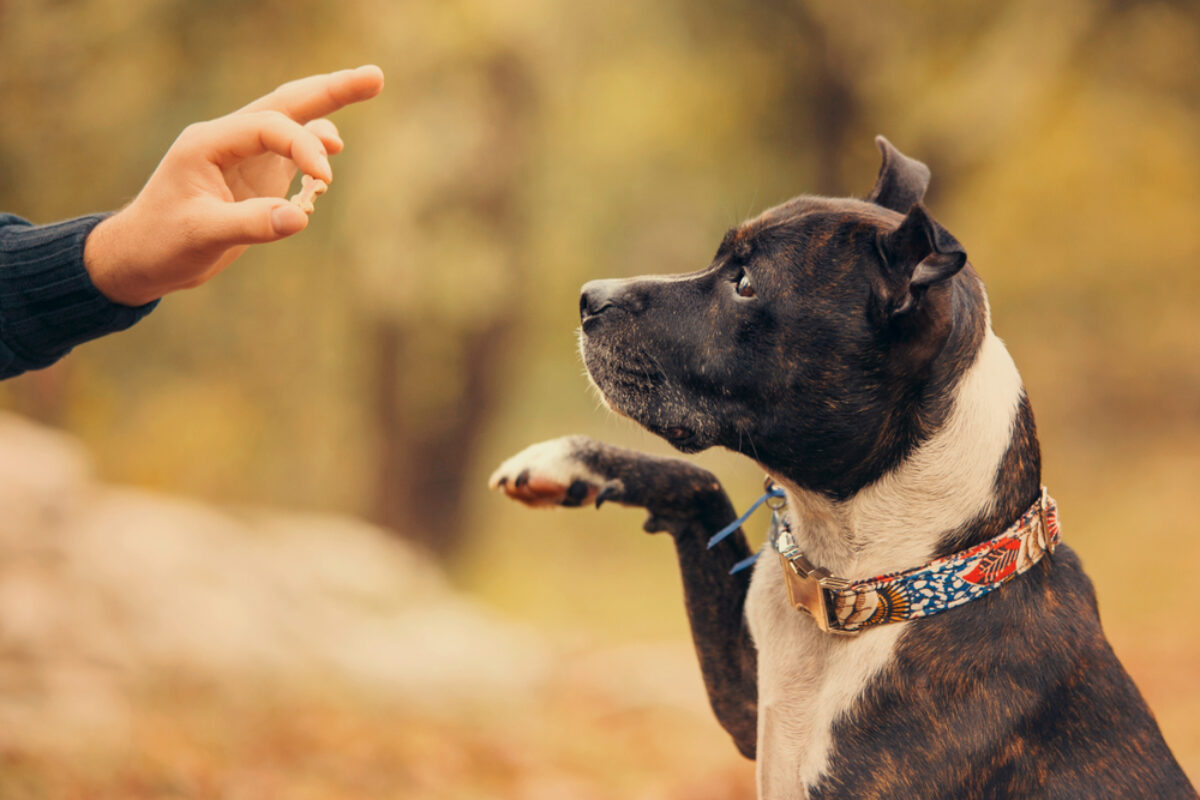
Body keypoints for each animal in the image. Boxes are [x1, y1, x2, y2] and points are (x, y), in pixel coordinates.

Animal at [489, 139, 1200, 800]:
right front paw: (567, 461)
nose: (589, 298)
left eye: (745, 284)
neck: (866, 583)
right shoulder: (748, 702)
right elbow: (701, 486)